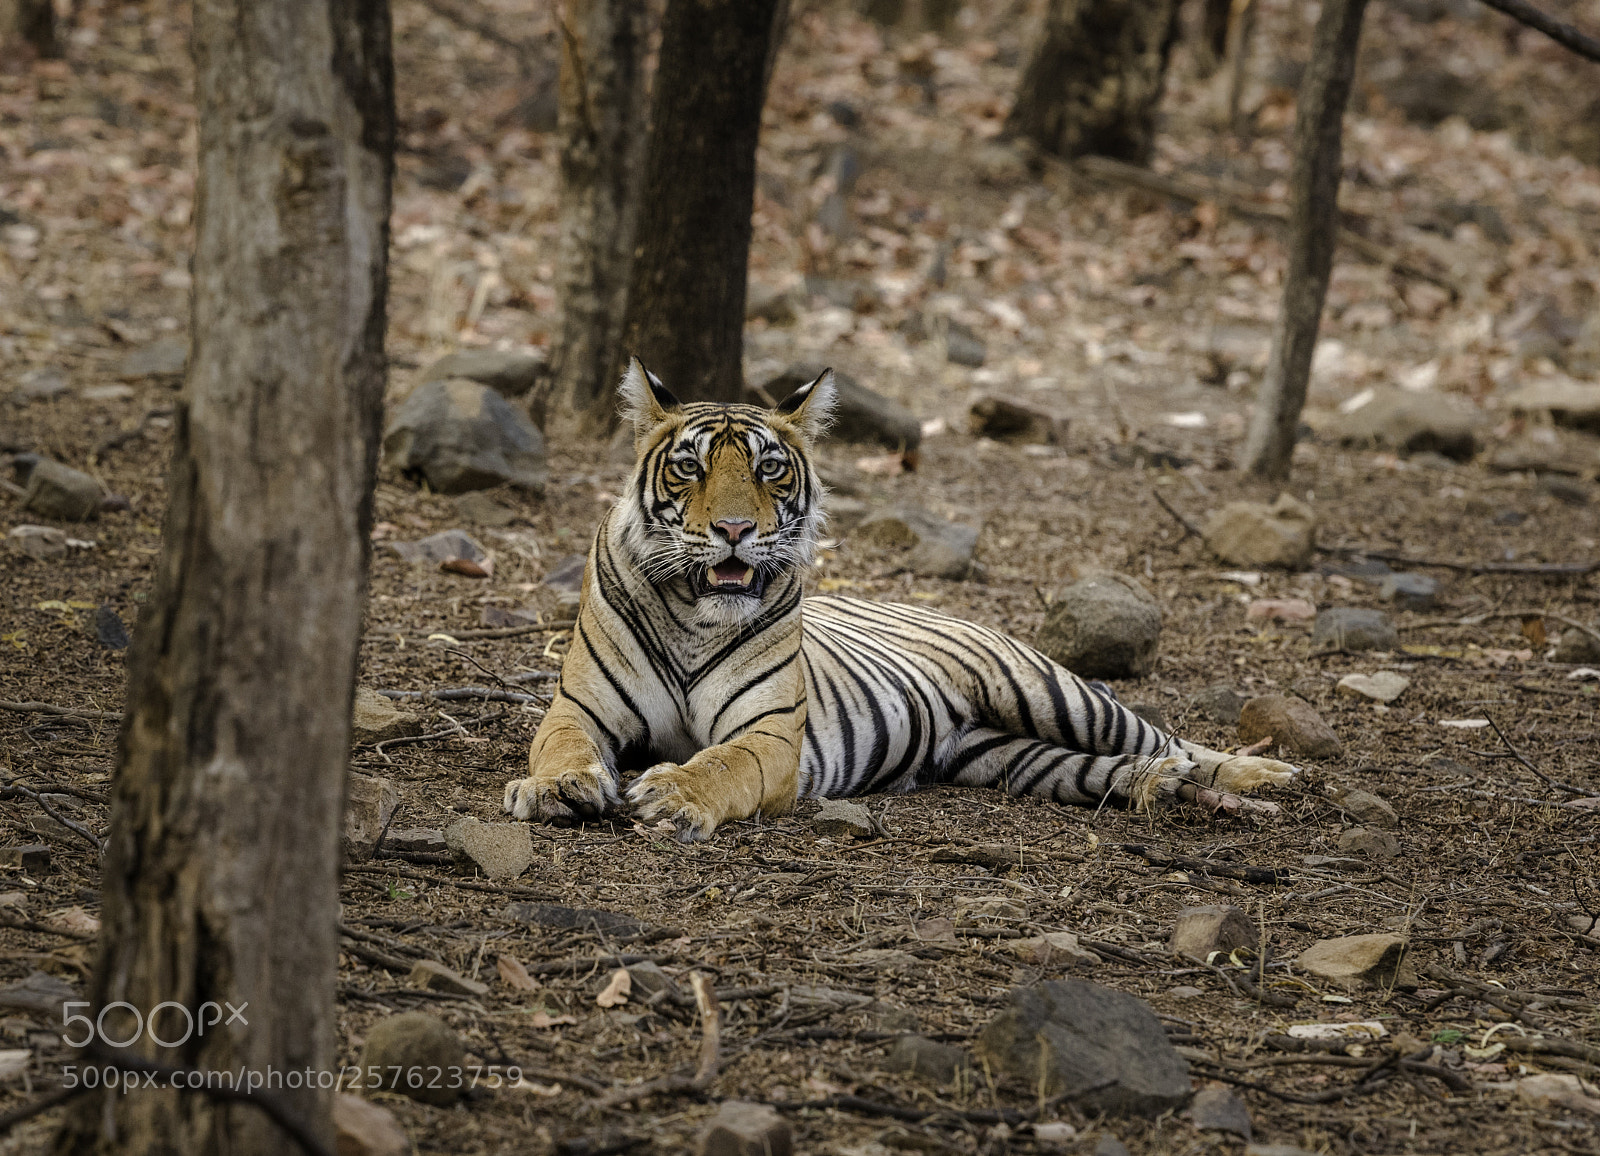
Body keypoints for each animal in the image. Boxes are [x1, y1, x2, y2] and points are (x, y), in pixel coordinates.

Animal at [503, 357, 1298, 841]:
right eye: (690, 468)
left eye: (768, 470)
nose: (733, 530)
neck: (695, 614)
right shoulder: (578, 707)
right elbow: (562, 745)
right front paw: (558, 787)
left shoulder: (768, 735)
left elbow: (722, 764)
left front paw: (672, 795)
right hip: (1004, 755)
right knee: (1104, 767)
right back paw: (1157, 787)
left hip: (1047, 691)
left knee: (1163, 735)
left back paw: (1260, 773)